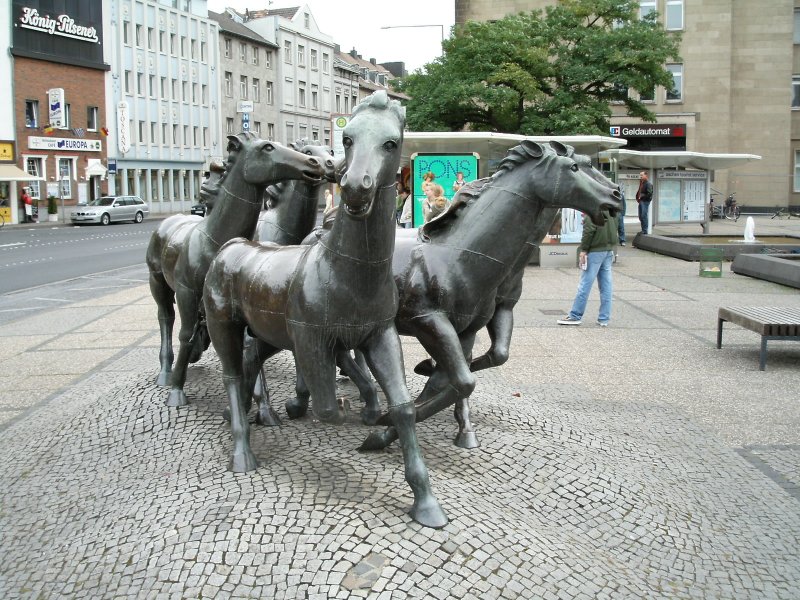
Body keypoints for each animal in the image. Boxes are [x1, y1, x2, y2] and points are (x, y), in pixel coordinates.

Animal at [145, 135, 326, 408]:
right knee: (166, 319)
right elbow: (186, 335)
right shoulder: (188, 293)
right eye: (267, 147)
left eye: (329, 149)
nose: (318, 163)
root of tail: (167, 221)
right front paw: (177, 391)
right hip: (158, 283)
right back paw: (166, 372)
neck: (214, 239)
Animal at [203, 90, 446, 528]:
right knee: (232, 374)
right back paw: (243, 452)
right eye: (347, 138)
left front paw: (426, 502)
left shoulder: (380, 335)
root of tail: (230, 246)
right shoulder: (311, 339)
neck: (344, 271)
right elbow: (330, 408)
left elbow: (402, 406)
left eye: (392, 142)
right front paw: (358, 412)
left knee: (250, 360)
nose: (354, 188)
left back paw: (250, 415)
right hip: (223, 326)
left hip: (268, 332)